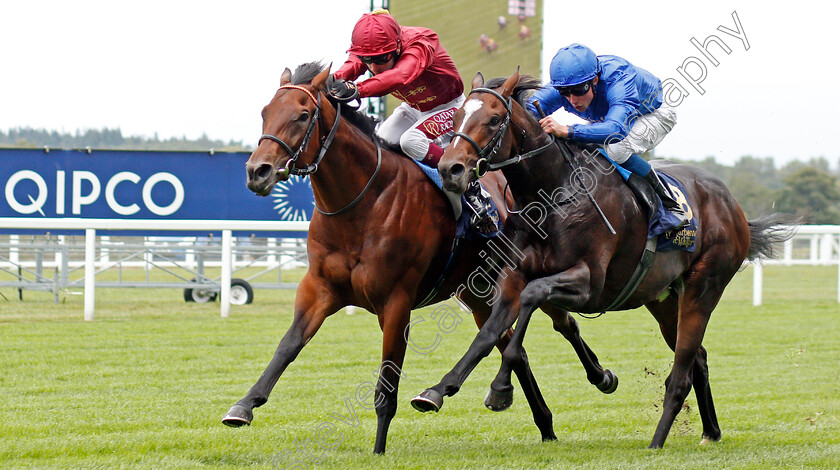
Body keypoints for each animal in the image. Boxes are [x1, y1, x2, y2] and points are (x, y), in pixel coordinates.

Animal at [223, 60, 616, 454]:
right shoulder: (318, 289)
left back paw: (600, 377)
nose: (257, 171)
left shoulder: (396, 301)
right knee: (512, 346)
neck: (362, 204)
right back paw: (541, 421)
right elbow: (288, 345)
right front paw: (244, 405)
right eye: (265, 112)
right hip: (479, 293)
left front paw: (379, 449)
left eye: (303, 115)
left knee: (565, 323)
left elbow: (387, 381)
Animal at [412, 69, 796, 448]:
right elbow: (489, 333)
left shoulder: (588, 283)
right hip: (663, 299)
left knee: (682, 371)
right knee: (697, 359)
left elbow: (532, 297)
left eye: (493, 120)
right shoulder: (511, 277)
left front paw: (500, 389)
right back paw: (710, 431)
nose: (450, 169)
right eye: (456, 117)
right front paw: (437, 390)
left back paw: (657, 442)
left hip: (704, 288)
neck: (552, 197)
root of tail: (733, 206)